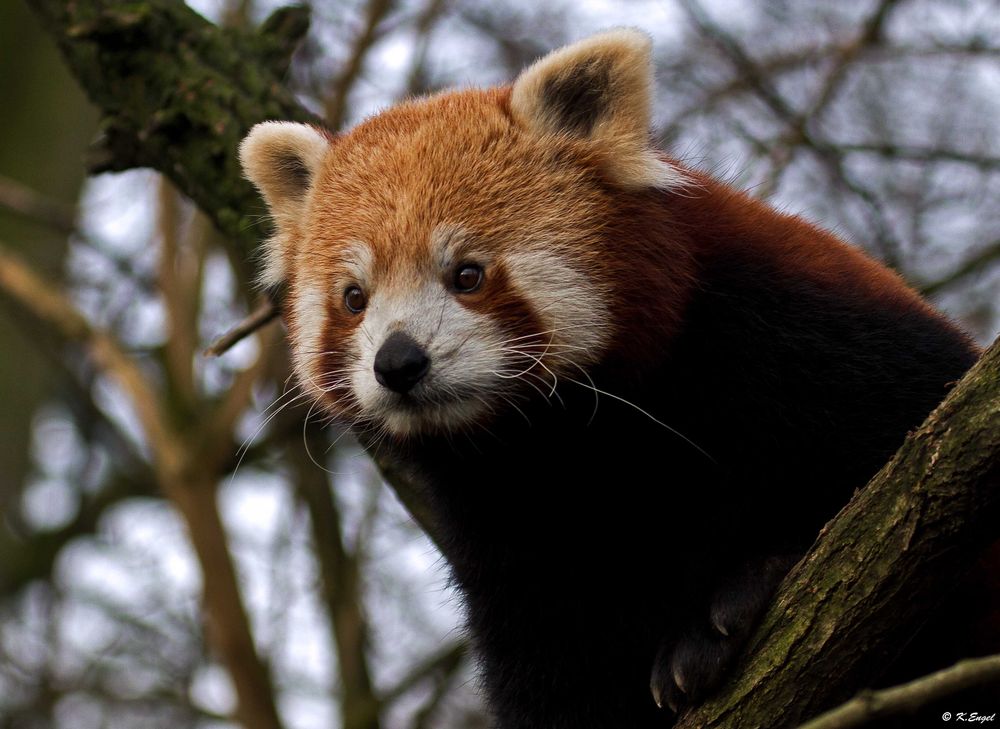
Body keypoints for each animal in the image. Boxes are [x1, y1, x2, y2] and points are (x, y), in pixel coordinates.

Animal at [240, 28, 984, 728]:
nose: (398, 363)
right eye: (354, 298)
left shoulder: (809, 339)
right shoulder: (511, 529)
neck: (582, 438)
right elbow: (550, 660)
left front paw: (747, 587)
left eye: (468, 275)